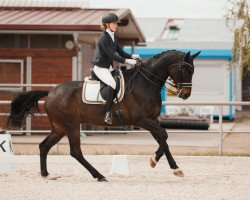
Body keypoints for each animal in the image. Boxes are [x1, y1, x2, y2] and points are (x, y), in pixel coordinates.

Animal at [6, 49, 201, 181]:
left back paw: (46, 174)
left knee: (44, 146)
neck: (145, 83)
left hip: (60, 128)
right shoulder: (140, 120)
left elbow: (163, 139)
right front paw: (153, 160)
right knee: (75, 151)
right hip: (71, 125)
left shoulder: (152, 120)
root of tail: (51, 92)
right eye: (185, 70)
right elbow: (164, 135)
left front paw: (175, 168)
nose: (185, 94)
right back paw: (99, 175)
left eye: (193, 70)